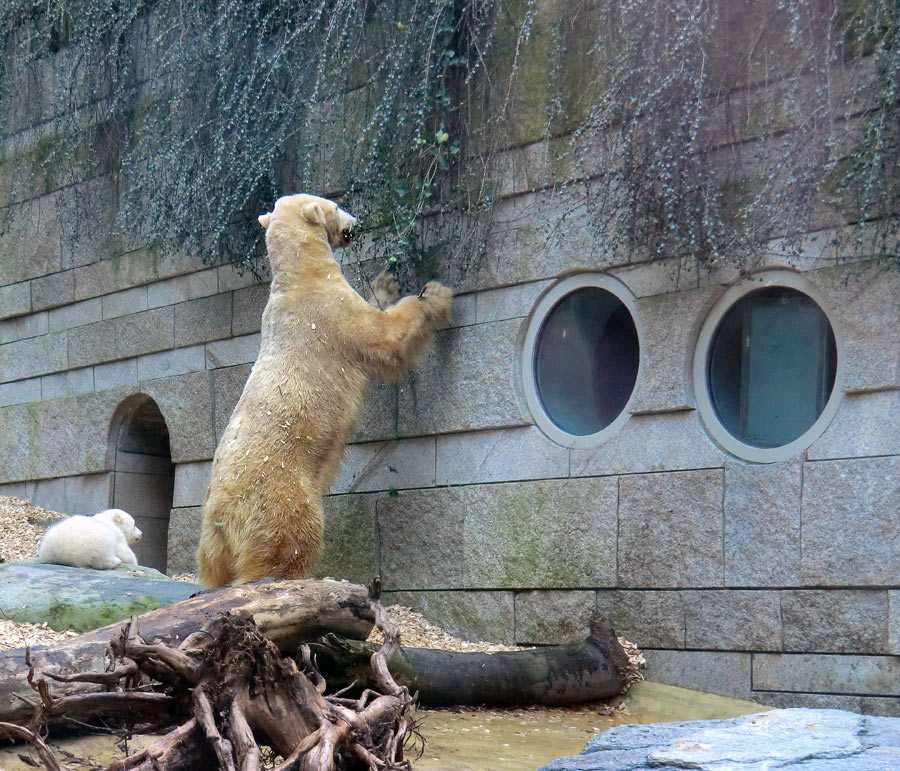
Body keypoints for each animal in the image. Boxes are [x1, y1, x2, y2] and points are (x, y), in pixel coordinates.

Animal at [194, 193, 454, 584]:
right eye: (335, 205)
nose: (357, 223)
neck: (299, 276)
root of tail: (225, 518)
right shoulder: (331, 311)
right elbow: (382, 336)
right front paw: (433, 295)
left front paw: (386, 281)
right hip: (283, 497)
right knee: (292, 541)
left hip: (211, 541)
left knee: (215, 569)